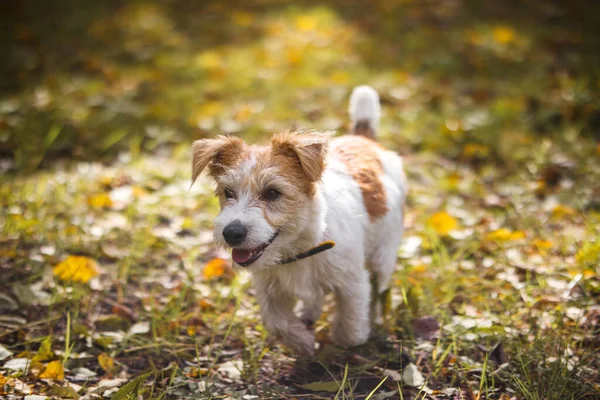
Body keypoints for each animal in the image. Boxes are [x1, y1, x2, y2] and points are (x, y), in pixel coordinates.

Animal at [191, 86, 408, 356]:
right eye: (228, 192)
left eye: (272, 193)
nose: (231, 233)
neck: (299, 248)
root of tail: (364, 139)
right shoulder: (270, 292)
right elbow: (278, 324)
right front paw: (303, 343)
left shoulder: (352, 283)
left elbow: (350, 328)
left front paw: (345, 342)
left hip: (383, 255)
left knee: (379, 288)